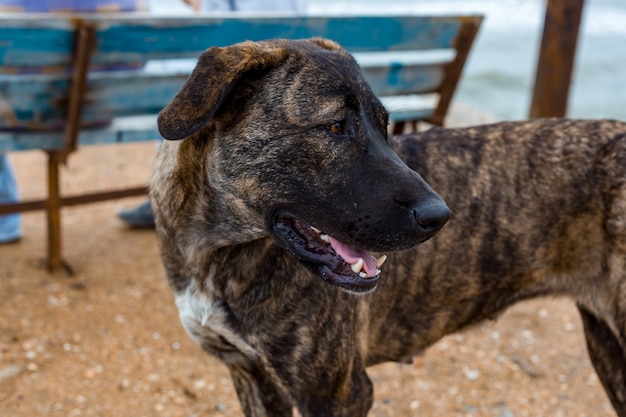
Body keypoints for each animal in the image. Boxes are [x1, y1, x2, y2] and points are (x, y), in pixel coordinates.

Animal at [150, 37, 624, 414]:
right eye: (335, 126)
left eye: (386, 127)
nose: (440, 216)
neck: (214, 251)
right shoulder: (250, 377)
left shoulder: (340, 393)